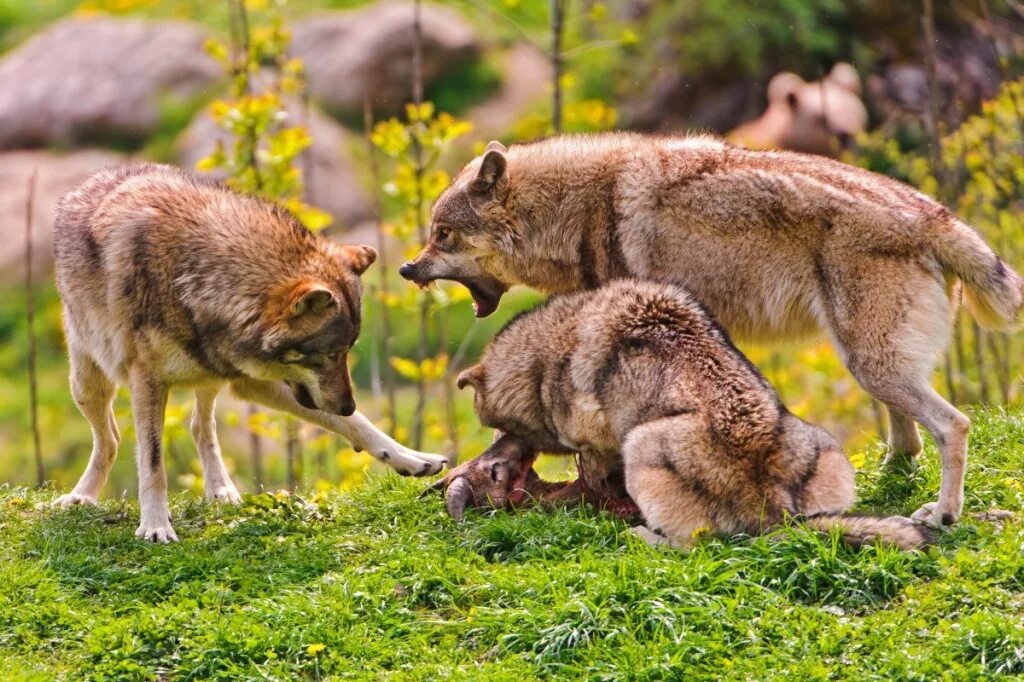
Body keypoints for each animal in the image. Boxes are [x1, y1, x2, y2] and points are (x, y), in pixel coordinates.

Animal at [51, 161, 444, 540]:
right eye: (330, 354)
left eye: (348, 351)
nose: (347, 404)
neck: (197, 277)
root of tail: (92, 180)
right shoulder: (147, 382)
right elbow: (153, 461)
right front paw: (155, 525)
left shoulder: (246, 379)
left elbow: (359, 425)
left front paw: (410, 458)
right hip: (87, 384)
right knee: (112, 439)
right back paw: (81, 496)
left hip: (209, 376)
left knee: (199, 426)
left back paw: (221, 489)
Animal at [436, 278, 933, 548]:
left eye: (497, 430)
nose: (495, 459)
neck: (542, 361)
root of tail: (770, 508)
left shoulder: (596, 441)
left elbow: (591, 470)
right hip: (825, 446)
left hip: (642, 447)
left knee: (691, 544)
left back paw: (640, 535)